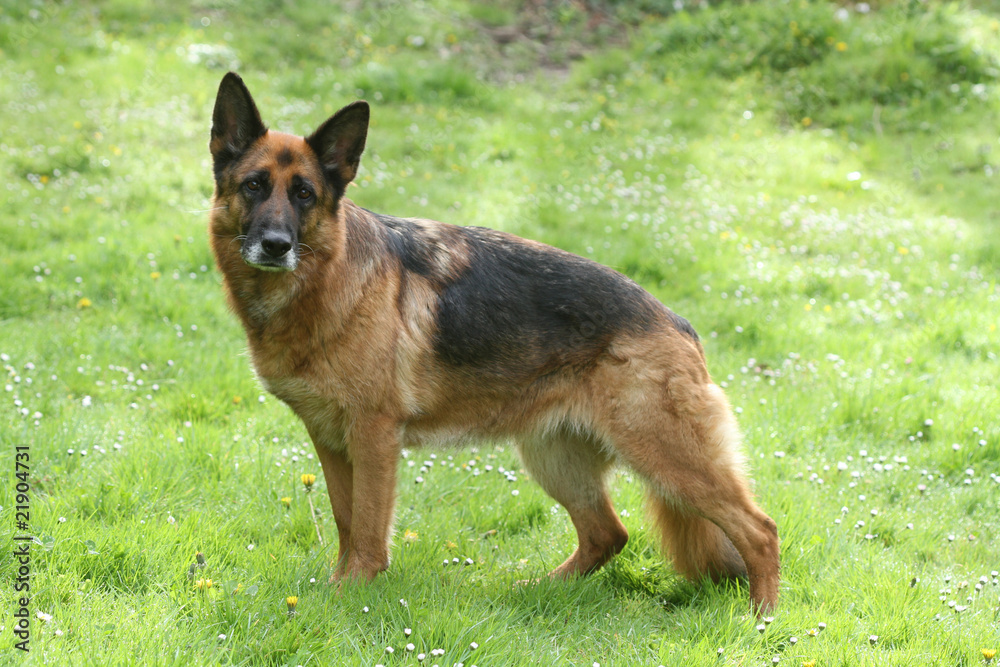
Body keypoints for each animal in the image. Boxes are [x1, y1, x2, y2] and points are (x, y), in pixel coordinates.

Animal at [205, 72, 780, 612]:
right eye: (254, 186)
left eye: (304, 194)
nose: (275, 246)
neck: (326, 280)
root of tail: (677, 322)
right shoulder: (330, 439)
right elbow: (347, 521)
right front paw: (337, 591)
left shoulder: (373, 436)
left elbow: (367, 529)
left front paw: (351, 594)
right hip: (556, 459)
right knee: (607, 535)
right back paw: (540, 592)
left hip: (667, 456)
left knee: (760, 531)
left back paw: (760, 620)